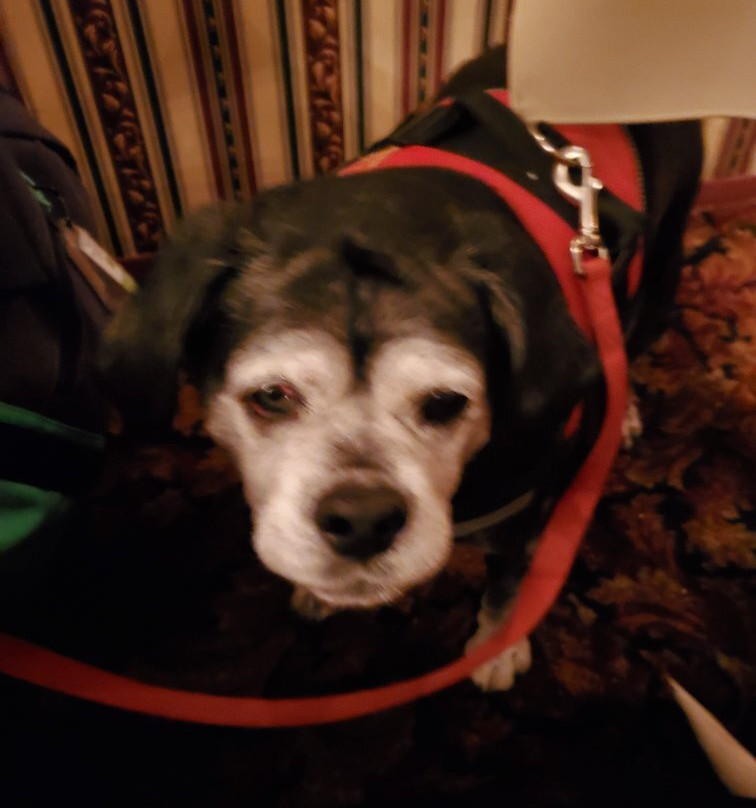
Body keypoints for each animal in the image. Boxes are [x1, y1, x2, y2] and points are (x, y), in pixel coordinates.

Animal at [100, 47, 702, 691]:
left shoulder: (524, 520)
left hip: (661, 272)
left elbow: (507, 592)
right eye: (272, 395)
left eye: (445, 402)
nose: (363, 520)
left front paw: (496, 651)